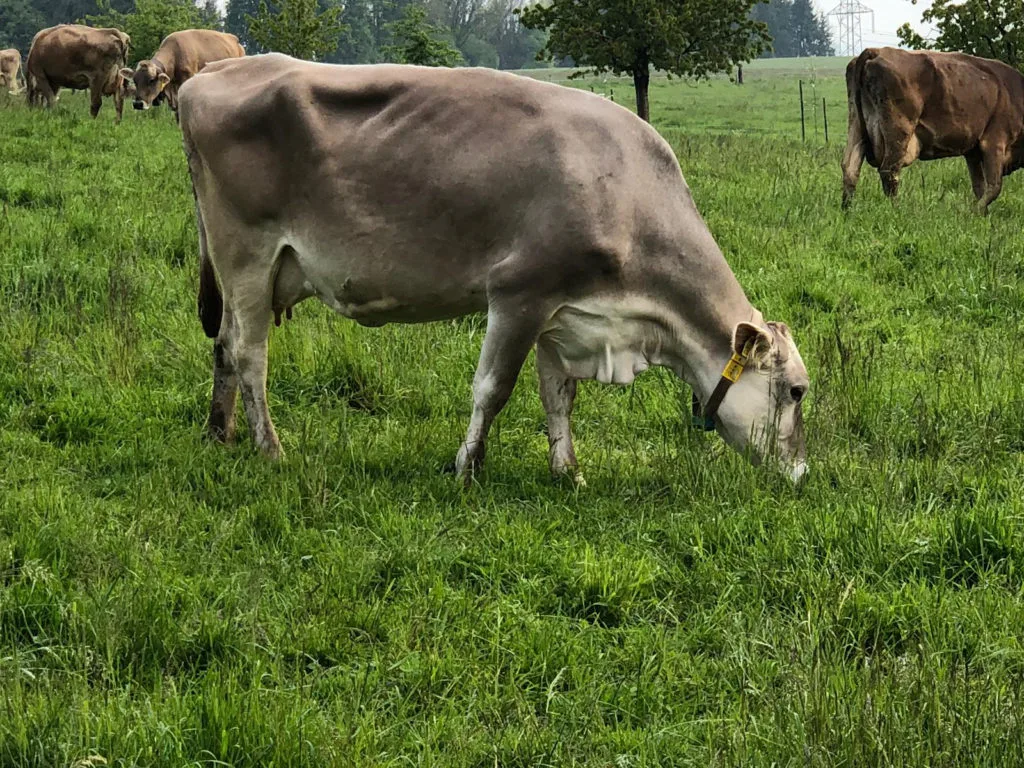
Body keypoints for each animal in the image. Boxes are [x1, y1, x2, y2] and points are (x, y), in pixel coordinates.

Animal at [180, 54, 810, 484]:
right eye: (797, 391)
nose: (803, 474)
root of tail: (208, 74)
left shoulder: (565, 310)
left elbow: (559, 395)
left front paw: (568, 472)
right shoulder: (518, 293)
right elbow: (492, 388)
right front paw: (467, 466)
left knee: (224, 344)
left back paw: (220, 433)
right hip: (248, 256)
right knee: (249, 352)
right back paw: (270, 448)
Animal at [843, 47, 1024, 214]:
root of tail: (876, 51)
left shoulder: (972, 152)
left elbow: (979, 186)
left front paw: (982, 215)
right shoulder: (994, 142)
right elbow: (994, 186)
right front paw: (974, 212)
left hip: (857, 124)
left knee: (850, 168)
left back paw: (847, 211)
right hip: (898, 132)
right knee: (889, 170)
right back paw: (897, 211)